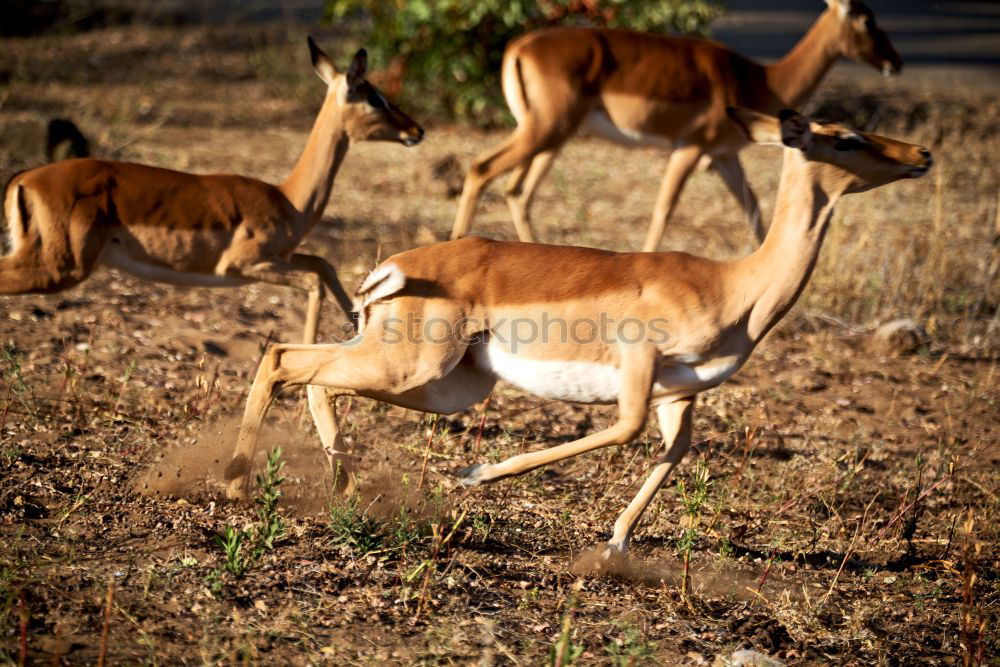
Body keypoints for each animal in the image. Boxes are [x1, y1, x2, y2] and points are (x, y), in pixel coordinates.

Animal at [225, 107, 928, 560]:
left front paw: (615, 543)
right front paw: (473, 474)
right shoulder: (640, 369)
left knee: (308, 373)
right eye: (845, 138)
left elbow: (673, 451)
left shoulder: (681, 394)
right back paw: (238, 483)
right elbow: (625, 431)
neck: (735, 287)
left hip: (443, 385)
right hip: (414, 369)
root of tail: (396, 266)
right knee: (284, 358)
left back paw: (341, 491)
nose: (920, 155)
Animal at [450, 0, 904, 252]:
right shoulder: (689, 149)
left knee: (517, 191)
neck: (762, 78)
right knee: (481, 169)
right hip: (545, 131)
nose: (895, 62)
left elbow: (754, 208)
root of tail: (519, 47)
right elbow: (663, 209)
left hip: (551, 138)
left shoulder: (724, 158)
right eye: (866, 20)